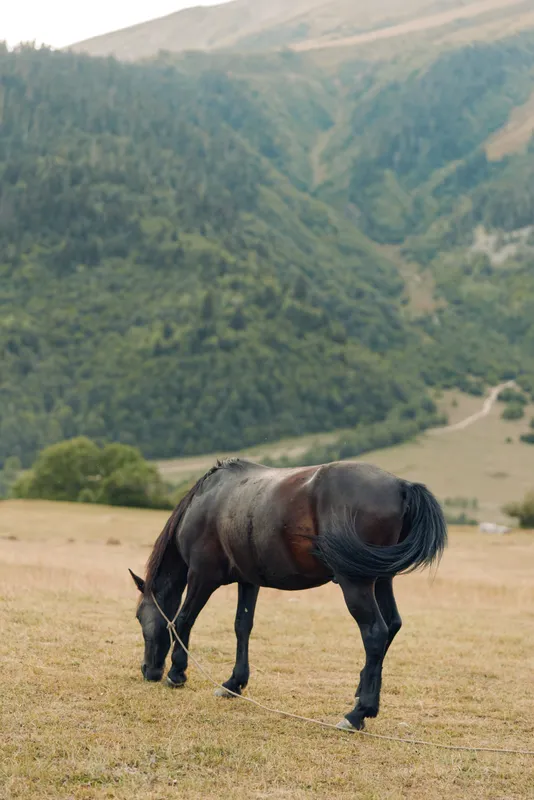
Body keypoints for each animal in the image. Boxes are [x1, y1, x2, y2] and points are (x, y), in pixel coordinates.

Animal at [129, 458, 447, 731]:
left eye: (138, 617)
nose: (148, 671)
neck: (206, 502)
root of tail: (401, 486)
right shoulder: (248, 582)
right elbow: (242, 627)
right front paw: (233, 683)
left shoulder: (201, 577)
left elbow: (183, 620)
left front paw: (177, 673)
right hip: (381, 579)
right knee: (392, 625)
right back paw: (361, 696)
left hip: (356, 583)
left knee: (375, 633)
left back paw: (357, 713)